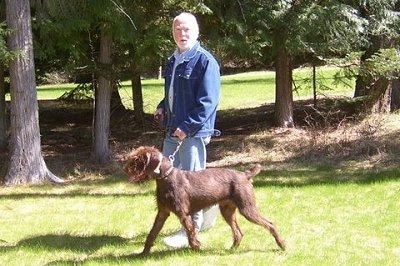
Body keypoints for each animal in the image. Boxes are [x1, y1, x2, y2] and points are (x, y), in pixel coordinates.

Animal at [123, 147, 286, 255]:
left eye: (138, 159)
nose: (125, 168)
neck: (166, 178)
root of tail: (245, 175)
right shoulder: (162, 212)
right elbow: (152, 233)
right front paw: (143, 253)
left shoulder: (183, 214)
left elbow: (191, 232)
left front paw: (196, 248)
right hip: (227, 211)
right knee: (239, 232)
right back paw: (232, 249)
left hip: (247, 209)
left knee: (270, 224)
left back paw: (282, 245)